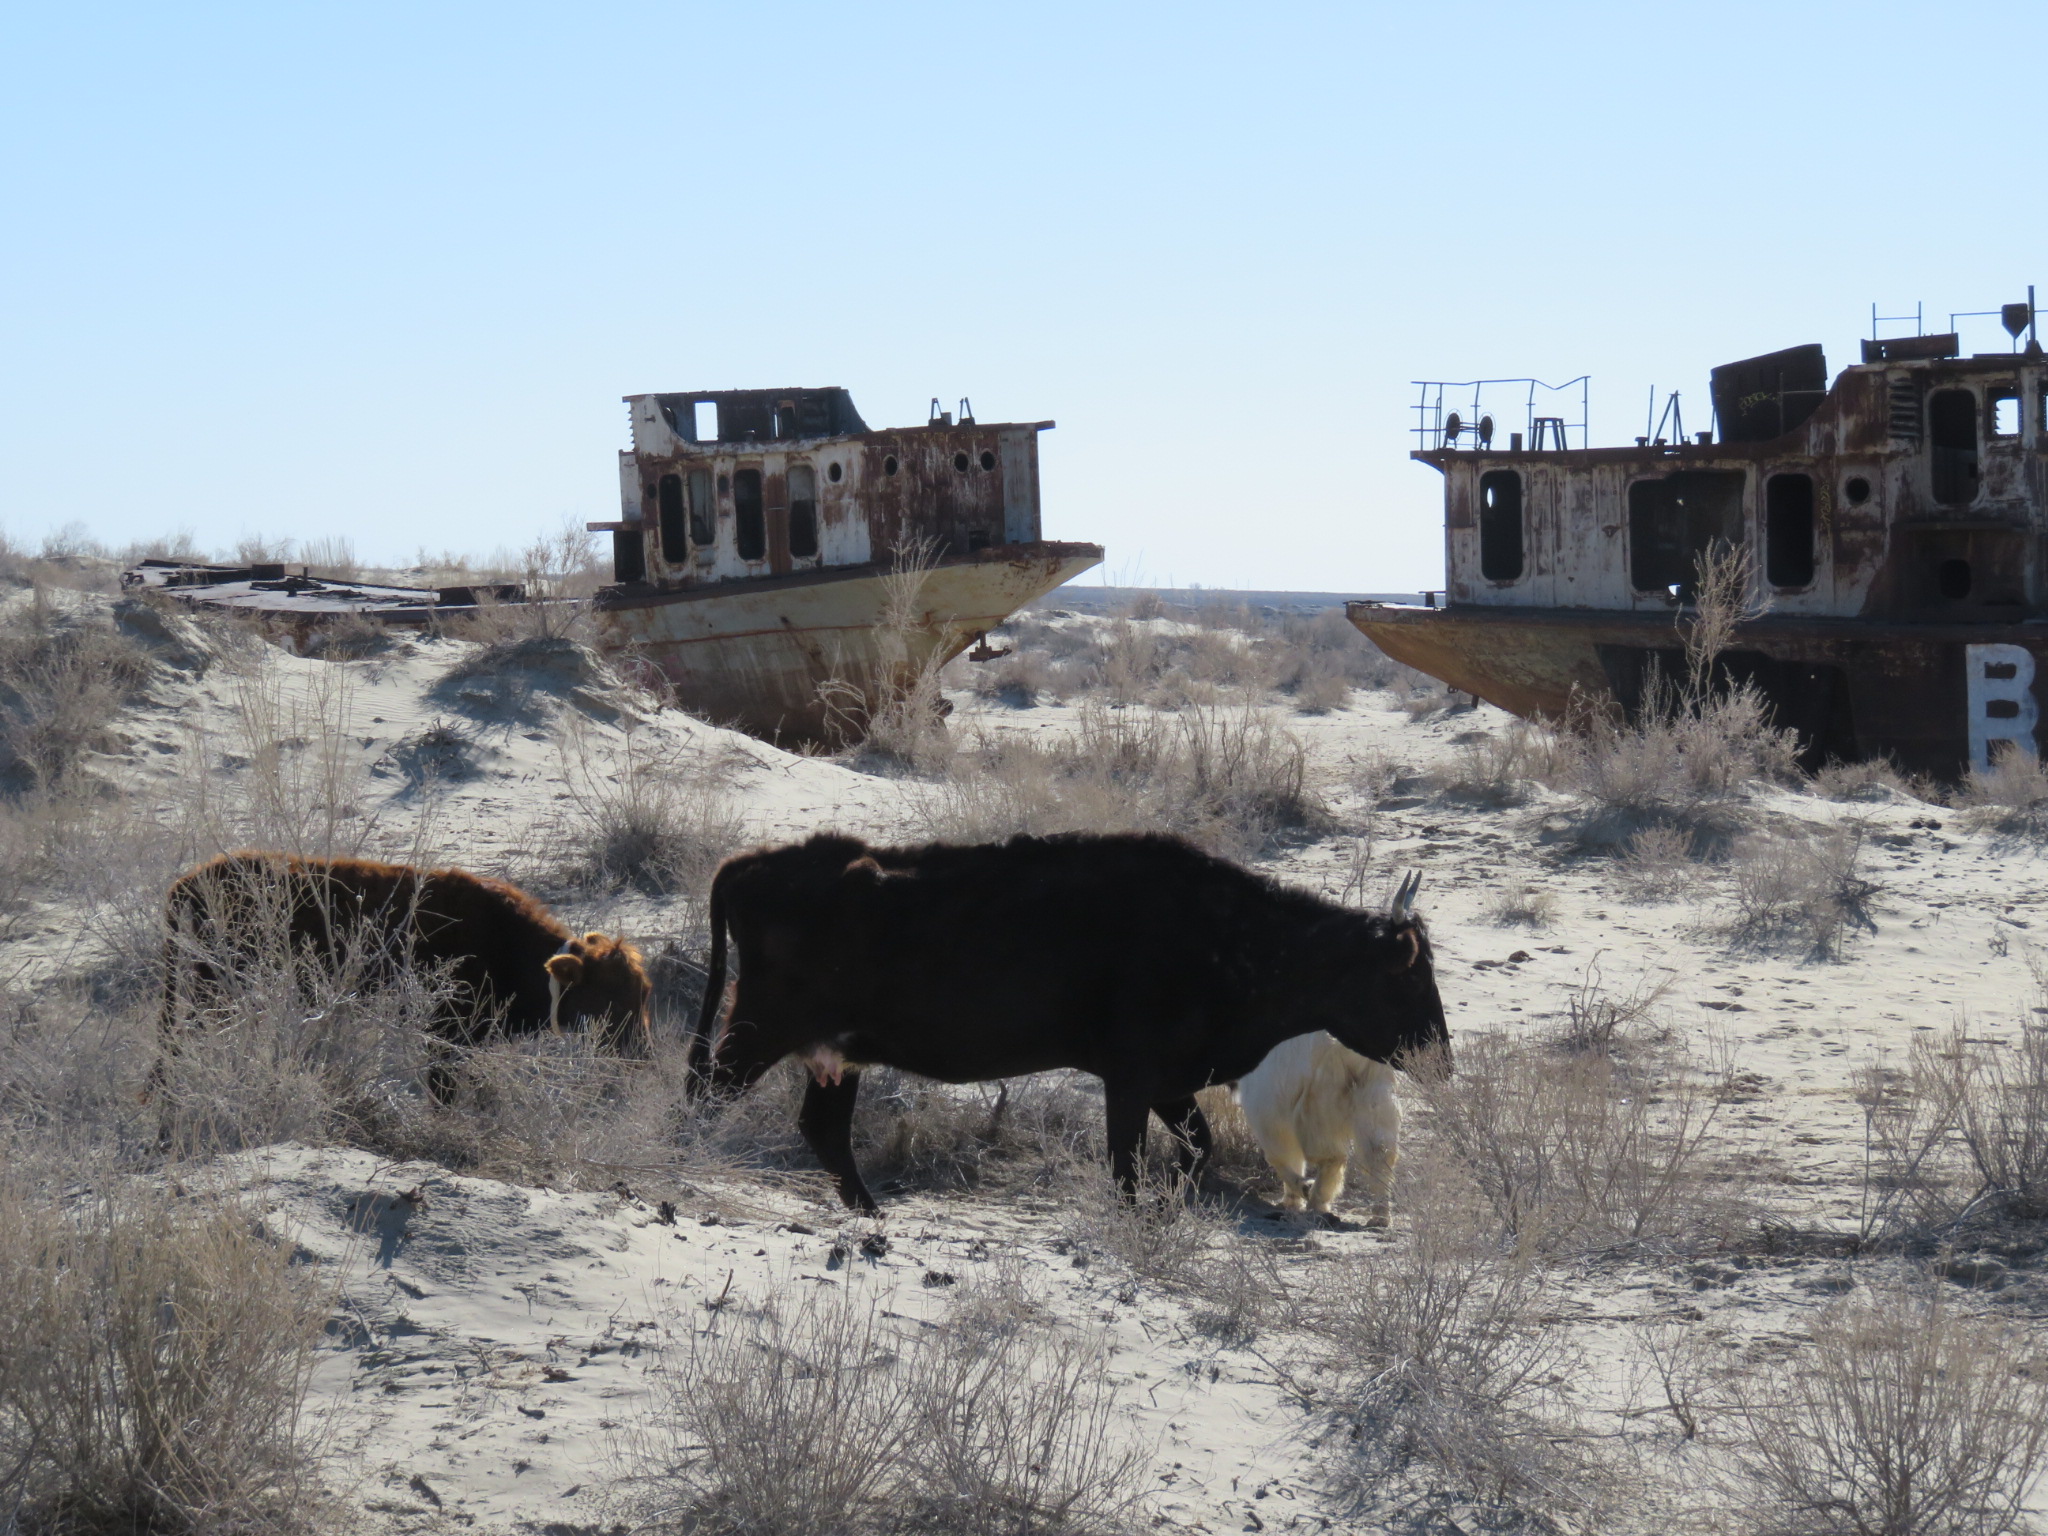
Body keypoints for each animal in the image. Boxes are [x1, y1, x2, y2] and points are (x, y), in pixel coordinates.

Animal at [158, 847, 647, 1097]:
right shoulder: (447, 1036)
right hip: (214, 992)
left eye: (641, 994)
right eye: (610, 997)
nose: (641, 1052)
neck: (508, 941)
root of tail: (188, 882)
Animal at [688, 835, 1441, 1212]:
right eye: (1407, 975)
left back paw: (872, 1215)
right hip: (754, 1034)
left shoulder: (1169, 1085)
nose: (1442, 1055)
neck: (1230, 935)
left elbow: (1198, 1150)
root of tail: (752, 863)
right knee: (701, 1098)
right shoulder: (1131, 1084)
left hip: (835, 1056)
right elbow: (1128, 1168)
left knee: (823, 1131)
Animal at [1220, 1040, 1400, 1236]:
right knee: (1378, 1147)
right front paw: (1291, 1199)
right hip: (1372, 1079)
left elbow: (1280, 1142)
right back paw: (1379, 1214)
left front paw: (1297, 1193)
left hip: (1317, 1080)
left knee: (1317, 1146)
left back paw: (1313, 1197)